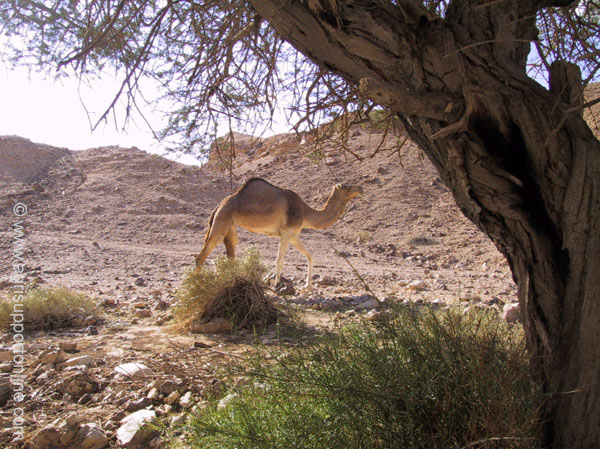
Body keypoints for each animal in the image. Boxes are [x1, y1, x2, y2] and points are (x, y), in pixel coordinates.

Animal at [196, 178, 360, 288]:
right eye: (347, 187)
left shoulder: (292, 235)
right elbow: (279, 260)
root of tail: (218, 206)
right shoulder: (287, 233)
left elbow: (310, 255)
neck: (305, 212)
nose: (361, 189)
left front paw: (307, 286)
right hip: (222, 220)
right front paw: (277, 285)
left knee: (230, 249)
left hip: (230, 224)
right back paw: (198, 283)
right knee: (202, 255)